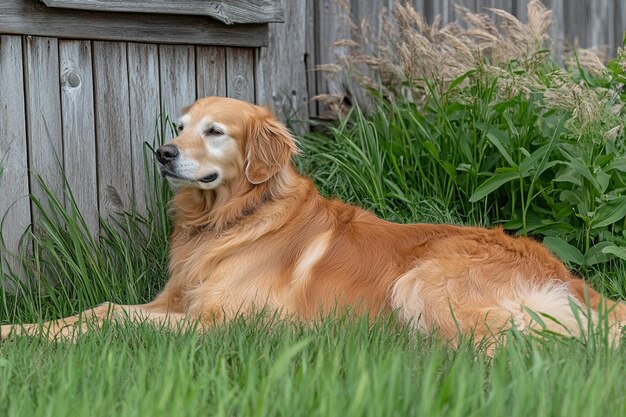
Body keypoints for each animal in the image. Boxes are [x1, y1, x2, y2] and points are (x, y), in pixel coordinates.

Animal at [1, 96, 624, 346]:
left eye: (215, 131)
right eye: (179, 126)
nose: (162, 153)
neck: (232, 219)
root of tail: (570, 277)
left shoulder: (222, 323)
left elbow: (107, 322)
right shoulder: (174, 303)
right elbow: (100, 310)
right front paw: (19, 333)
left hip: (422, 282)